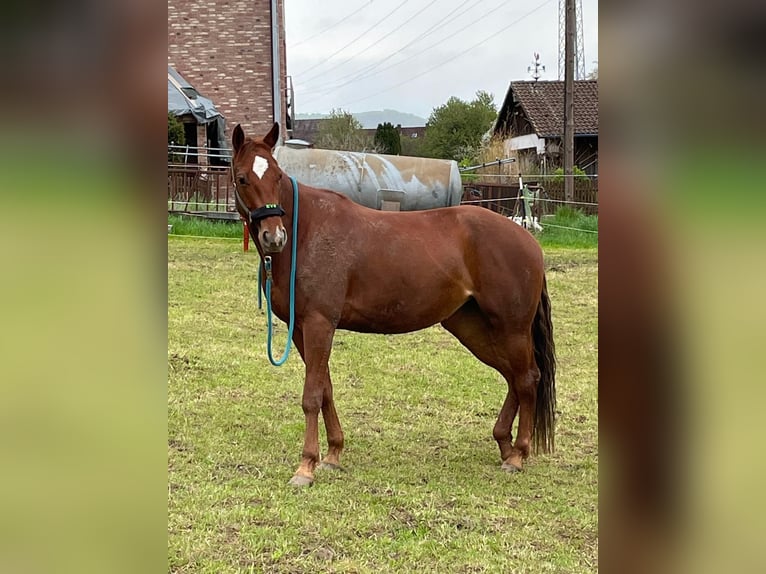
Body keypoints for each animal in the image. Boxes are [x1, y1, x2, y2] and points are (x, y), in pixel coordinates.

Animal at [231, 122, 556, 487]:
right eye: (243, 178)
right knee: (514, 376)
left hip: (511, 328)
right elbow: (326, 388)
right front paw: (333, 454)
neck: (307, 231)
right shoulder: (301, 329)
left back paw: (518, 454)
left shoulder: (319, 323)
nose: (274, 236)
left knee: (527, 378)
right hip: (473, 327)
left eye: (276, 175)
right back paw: (504, 443)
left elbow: (312, 395)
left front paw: (306, 466)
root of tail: (527, 240)